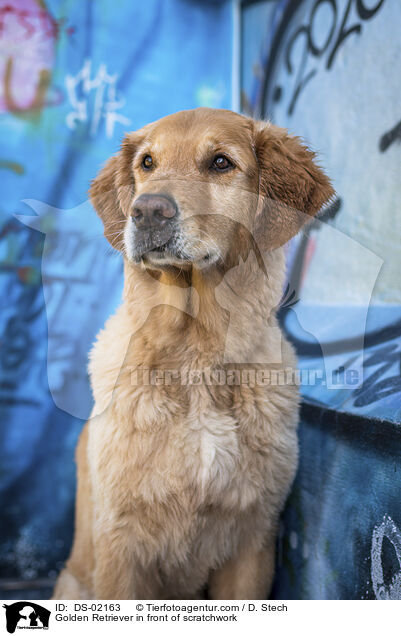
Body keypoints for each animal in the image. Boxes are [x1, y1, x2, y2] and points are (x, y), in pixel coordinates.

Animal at [52, 107, 332, 600]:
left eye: (221, 162)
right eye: (147, 163)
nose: (147, 212)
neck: (196, 353)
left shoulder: (253, 538)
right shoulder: (120, 544)